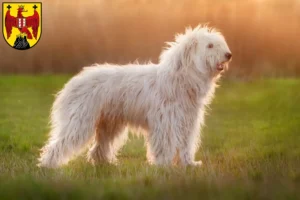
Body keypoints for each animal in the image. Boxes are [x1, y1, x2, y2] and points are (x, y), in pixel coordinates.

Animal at [38, 25, 232, 168]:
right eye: (210, 45)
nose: (228, 55)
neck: (181, 78)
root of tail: (73, 81)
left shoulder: (187, 122)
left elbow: (186, 145)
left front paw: (189, 164)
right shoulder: (166, 122)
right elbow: (166, 144)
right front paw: (164, 165)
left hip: (109, 124)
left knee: (99, 147)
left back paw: (105, 164)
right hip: (80, 122)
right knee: (59, 144)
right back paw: (48, 165)